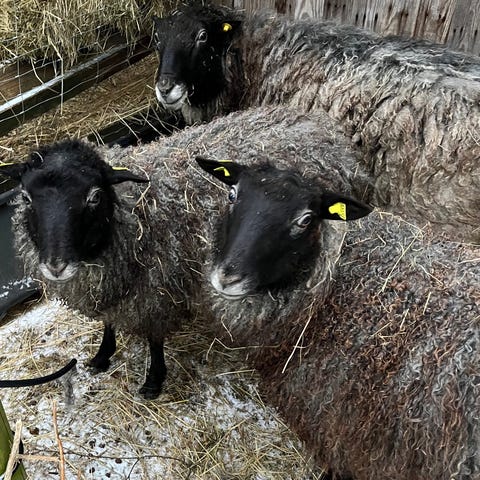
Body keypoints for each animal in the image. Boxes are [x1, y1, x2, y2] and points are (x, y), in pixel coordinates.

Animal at [0, 105, 368, 399]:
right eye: (26, 197)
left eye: (94, 196)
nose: (56, 266)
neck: (136, 214)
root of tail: (316, 118)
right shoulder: (114, 289)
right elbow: (108, 322)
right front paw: (102, 357)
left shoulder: (157, 292)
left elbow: (154, 339)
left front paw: (153, 382)